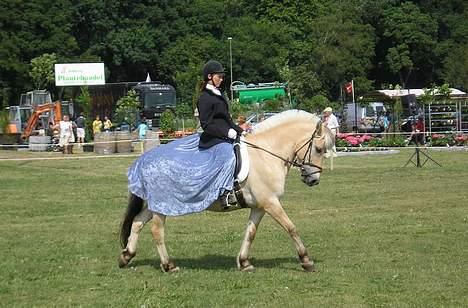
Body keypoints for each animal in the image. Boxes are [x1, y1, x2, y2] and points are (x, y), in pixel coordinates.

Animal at [118, 109, 336, 274]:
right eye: (318, 149)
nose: (313, 180)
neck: (266, 154)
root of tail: (143, 160)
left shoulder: (259, 206)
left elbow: (250, 232)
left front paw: (244, 262)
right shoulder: (270, 202)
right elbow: (291, 227)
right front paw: (306, 260)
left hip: (156, 204)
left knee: (137, 222)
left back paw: (126, 256)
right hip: (162, 205)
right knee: (156, 231)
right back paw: (168, 265)